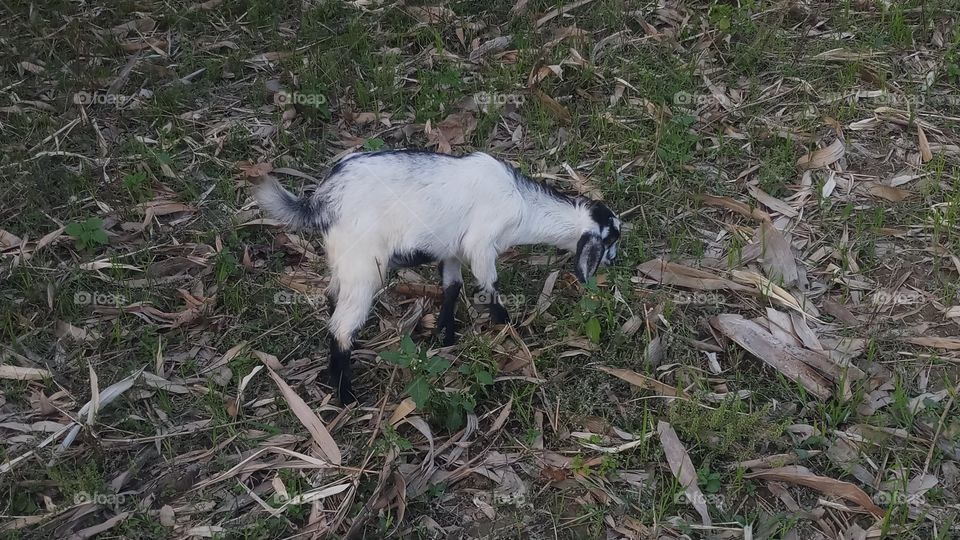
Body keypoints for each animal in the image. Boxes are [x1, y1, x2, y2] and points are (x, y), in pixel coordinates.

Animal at [253, 150, 624, 402]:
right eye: (610, 241)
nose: (614, 260)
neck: (522, 204)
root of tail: (324, 199)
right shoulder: (480, 245)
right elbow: (489, 285)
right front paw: (507, 326)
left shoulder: (452, 250)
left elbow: (452, 286)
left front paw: (445, 336)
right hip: (364, 265)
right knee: (343, 326)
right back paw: (347, 396)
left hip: (342, 259)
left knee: (333, 299)